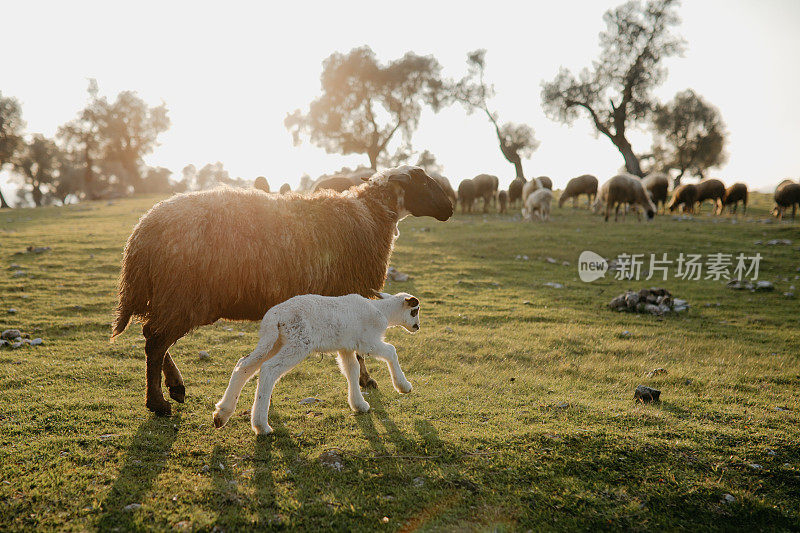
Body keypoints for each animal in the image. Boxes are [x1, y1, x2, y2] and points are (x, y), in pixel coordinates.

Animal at [112, 166, 454, 416]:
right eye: (424, 182)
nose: (450, 208)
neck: (371, 215)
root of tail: (142, 231)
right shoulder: (351, 291)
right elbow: (358, 350)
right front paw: (367, 380)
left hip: (171, 296)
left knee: (152, 335)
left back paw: (175, 387)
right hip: (183, 294)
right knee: (156, 342)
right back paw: (158, 403)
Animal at [212, 294, 422, 434]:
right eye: (414, 311)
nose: (417, 327)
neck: (383, 311)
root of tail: (275, 317)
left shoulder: (346, 347)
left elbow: (352, 371)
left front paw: (359, 404)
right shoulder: (367, 341)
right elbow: (391, 351)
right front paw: (403, 386)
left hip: (272, 340)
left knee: (244, 365)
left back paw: (222, 414)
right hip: (298, 342)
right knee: (269, 369)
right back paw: (261, 425)